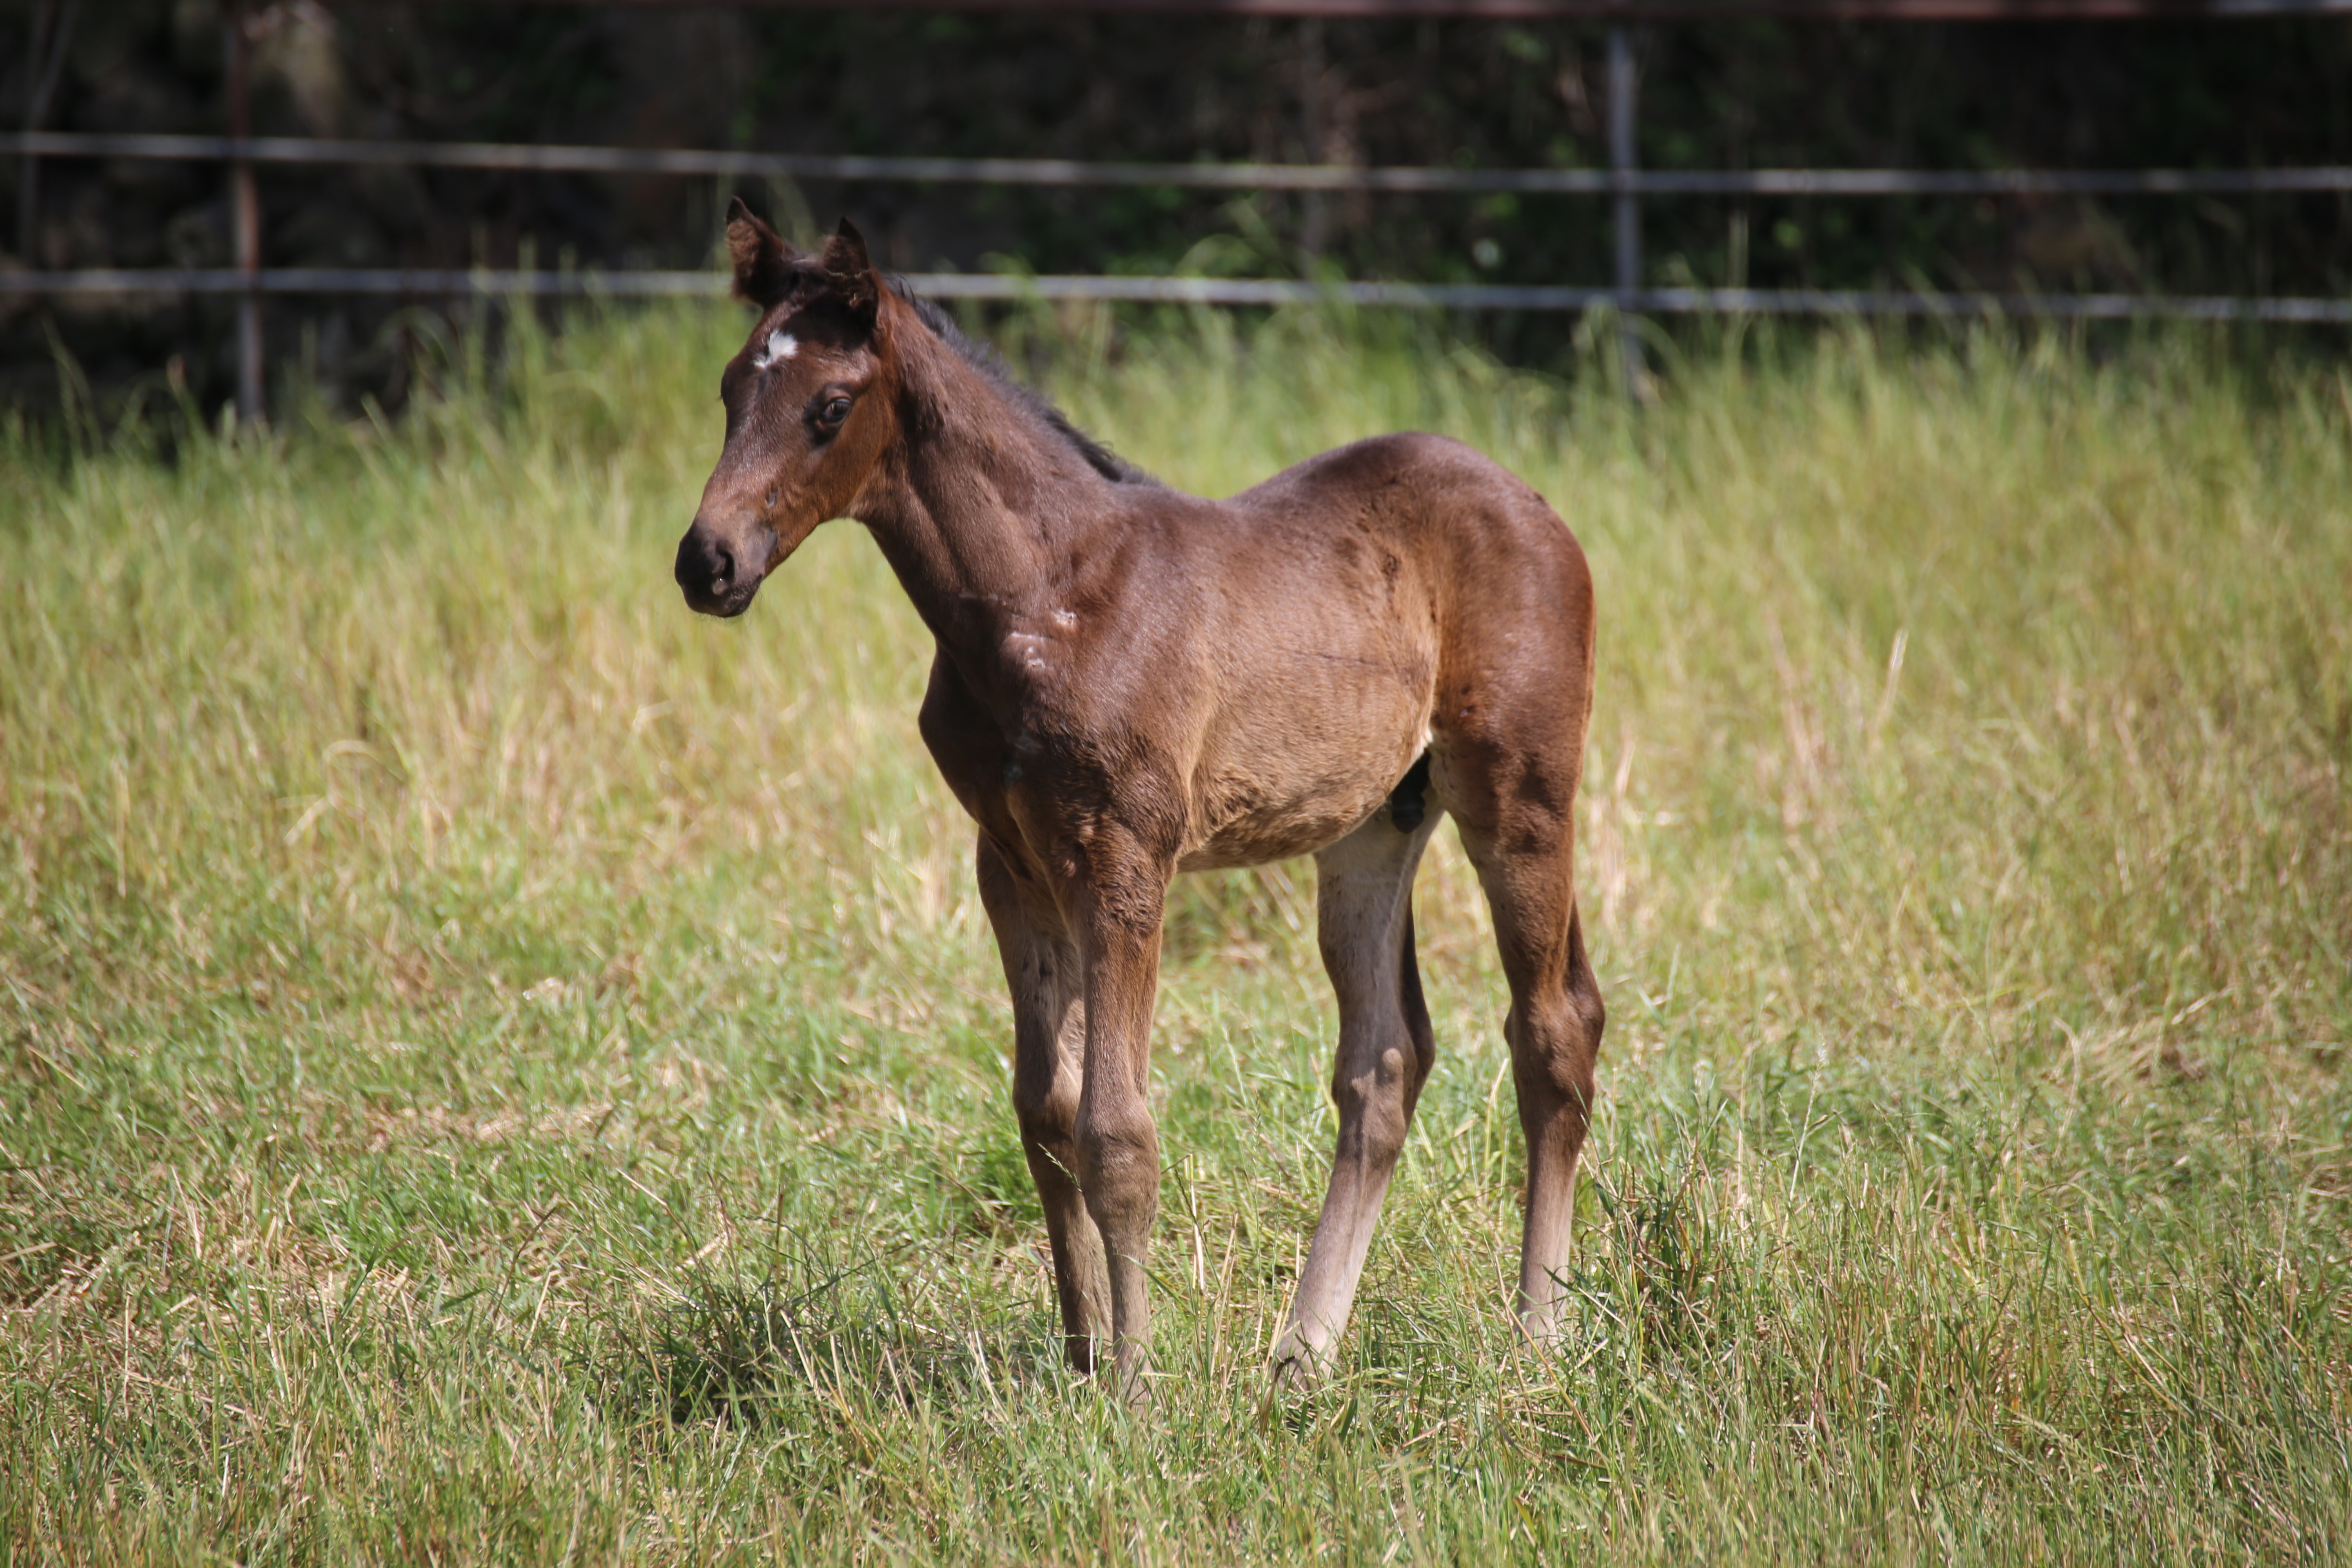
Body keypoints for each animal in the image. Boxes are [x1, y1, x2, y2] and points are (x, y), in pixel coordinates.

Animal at [673, 202, 1608, 1392]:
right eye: (728, 389)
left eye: (828, 408)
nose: (707, 562)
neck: (1045, 596)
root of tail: (1537, 507)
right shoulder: (1012, 863)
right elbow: (1045, 1110)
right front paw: (1080, 1357)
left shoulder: (1124, 855)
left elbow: (1116, 1128)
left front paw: (1131, 1380)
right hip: (1369, 828)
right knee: (1384, 1062)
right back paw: (1302, 1352)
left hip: (1519, 795)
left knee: (1552, 1028)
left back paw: (1537, 1332)